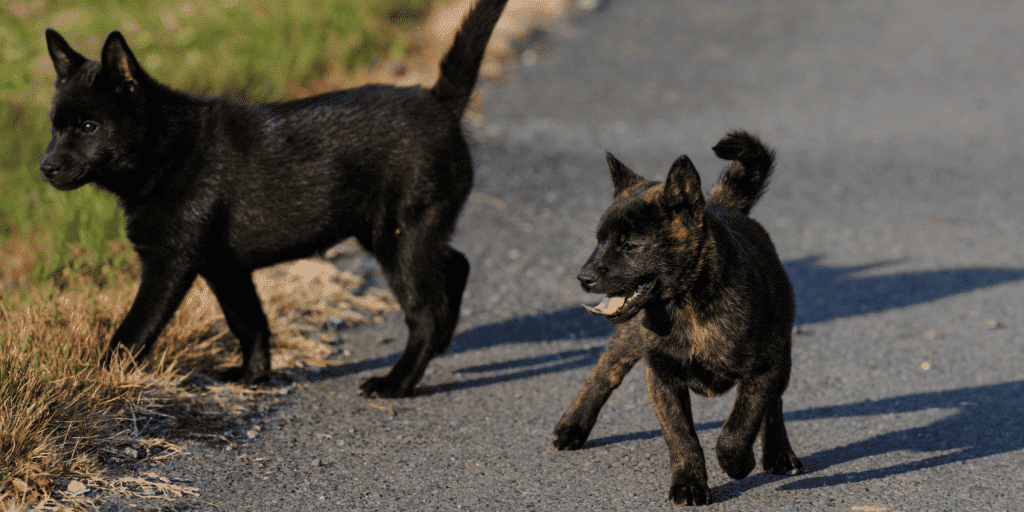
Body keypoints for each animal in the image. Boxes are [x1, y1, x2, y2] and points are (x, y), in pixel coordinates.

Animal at [41, 0, 509, 397]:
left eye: (88, 127)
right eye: (55, 127)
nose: (45, 166)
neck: (170, 151)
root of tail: (439, 101)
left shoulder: (169, 265)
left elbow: (133, 332)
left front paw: (93, 382)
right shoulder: (224, 268)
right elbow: (248, 322)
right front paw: (254, 376)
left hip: (400, 235)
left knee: (424, 312)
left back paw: (397, 382)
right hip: (395, 232)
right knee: (455, 266)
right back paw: (443, 340)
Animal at [552, 131, 798, 503]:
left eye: (630, 245)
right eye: (599, 241)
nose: (584, 278)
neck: (687, 307)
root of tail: (721, 206)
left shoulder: (764, 369)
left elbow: (740, 426)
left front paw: (738, 463)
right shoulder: (662, 377)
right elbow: (681, 437)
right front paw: (689, 484)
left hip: (783, 355)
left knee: (774, 406)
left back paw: (780, 455)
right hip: (628, 338)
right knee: (604, 374)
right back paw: (572, 426)